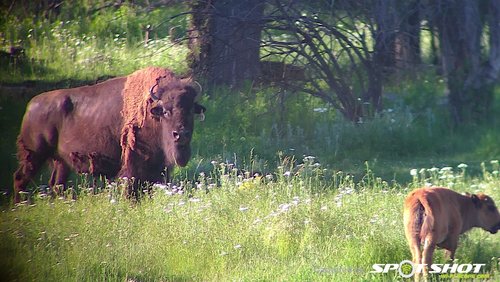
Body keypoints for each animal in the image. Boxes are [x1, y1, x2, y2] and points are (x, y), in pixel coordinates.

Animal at [13, 67, 205, 202]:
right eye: (165, 111)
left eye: (190, 110)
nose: (181, 134)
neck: (152, 114)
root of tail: (31, 105)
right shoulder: (133, 167)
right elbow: (131, 192)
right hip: (35, 155)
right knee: (20, 178)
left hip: (61, 161)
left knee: (56, 184)